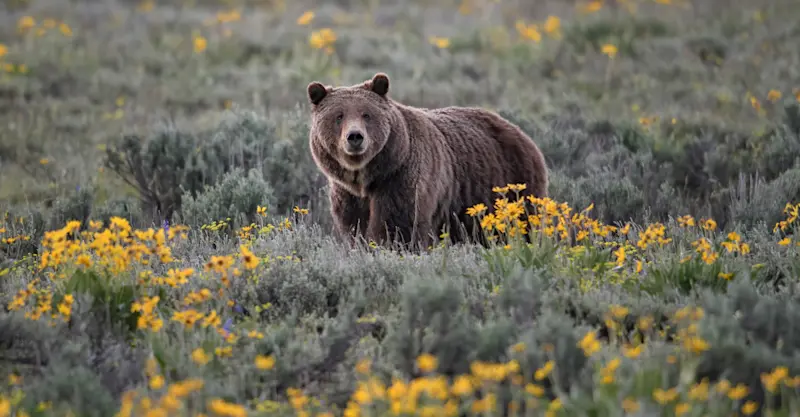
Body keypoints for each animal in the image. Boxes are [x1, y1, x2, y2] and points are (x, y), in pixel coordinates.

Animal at [305, 72, 548, 251]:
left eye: (366, 114)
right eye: (339, 116)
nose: (355, 136)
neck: (367, 177)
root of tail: (521, 133)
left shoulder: (401, 178)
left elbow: (398, 224)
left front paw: (390, 246)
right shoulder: (347, 194)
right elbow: (355, 227)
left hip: (513, 184)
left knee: (524, 224)